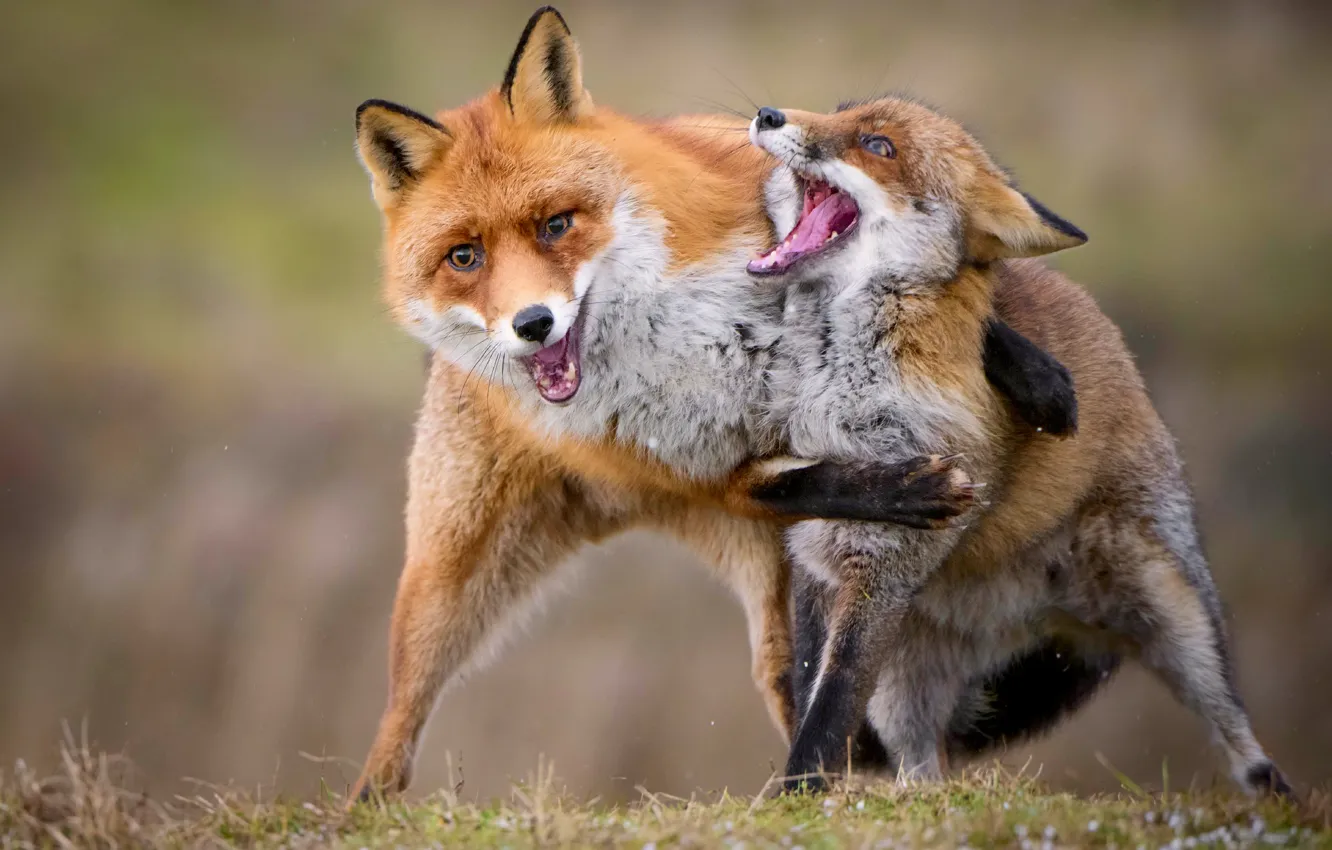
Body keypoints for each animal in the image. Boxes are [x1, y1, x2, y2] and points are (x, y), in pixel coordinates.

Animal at [346, 6, 1078, 800]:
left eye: (556, 224)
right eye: (465, 257)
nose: (532, 324)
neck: (670, 341)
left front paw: (1040, 380)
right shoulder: (694, 466)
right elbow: (806, 480)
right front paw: (912, 491)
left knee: (791, 675)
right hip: (447, 578)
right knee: (401, 713)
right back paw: (366, 807)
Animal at [744, 97, 1292, 798]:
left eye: (878, 145)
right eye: (840, 110)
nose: (768, 113)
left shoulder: (883, 567)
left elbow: (832, 702)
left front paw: (800, 795)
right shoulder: (817, 555)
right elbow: (814, 688)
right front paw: (804, 792)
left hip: (1174, 607)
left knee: (1238, 733)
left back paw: (1271, 798)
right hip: (909, 682)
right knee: (921, 762)